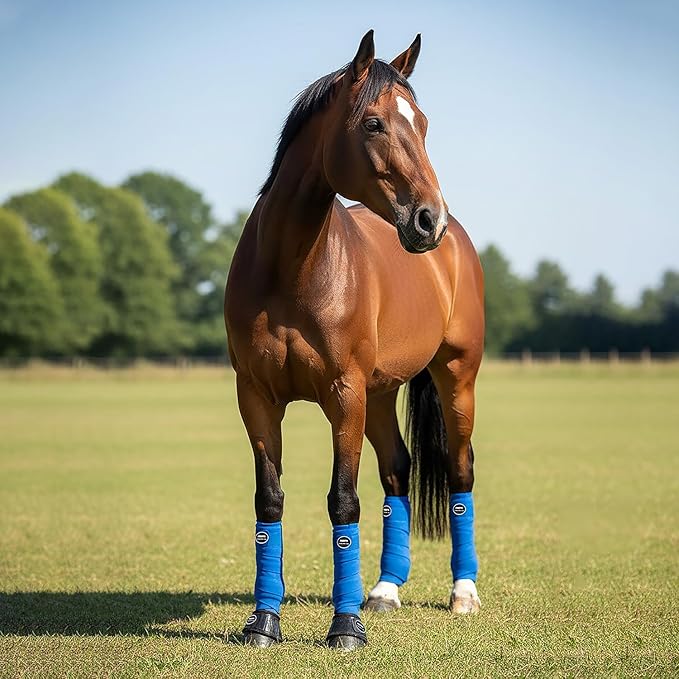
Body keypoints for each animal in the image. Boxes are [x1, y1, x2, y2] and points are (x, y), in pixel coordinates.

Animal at [224, 30, 484, 649]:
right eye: (373, 123)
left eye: (424, 123)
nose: (429, 221)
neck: (292, 270)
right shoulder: (256, 398)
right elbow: (269, 501)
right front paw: (263, 623)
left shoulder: (344, 396)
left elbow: (343, 502)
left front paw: (345, 628)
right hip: (382, 395)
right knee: (398, 471)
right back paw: (385, 590)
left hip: (456, 378)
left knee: (459, 470)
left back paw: (462, 593)